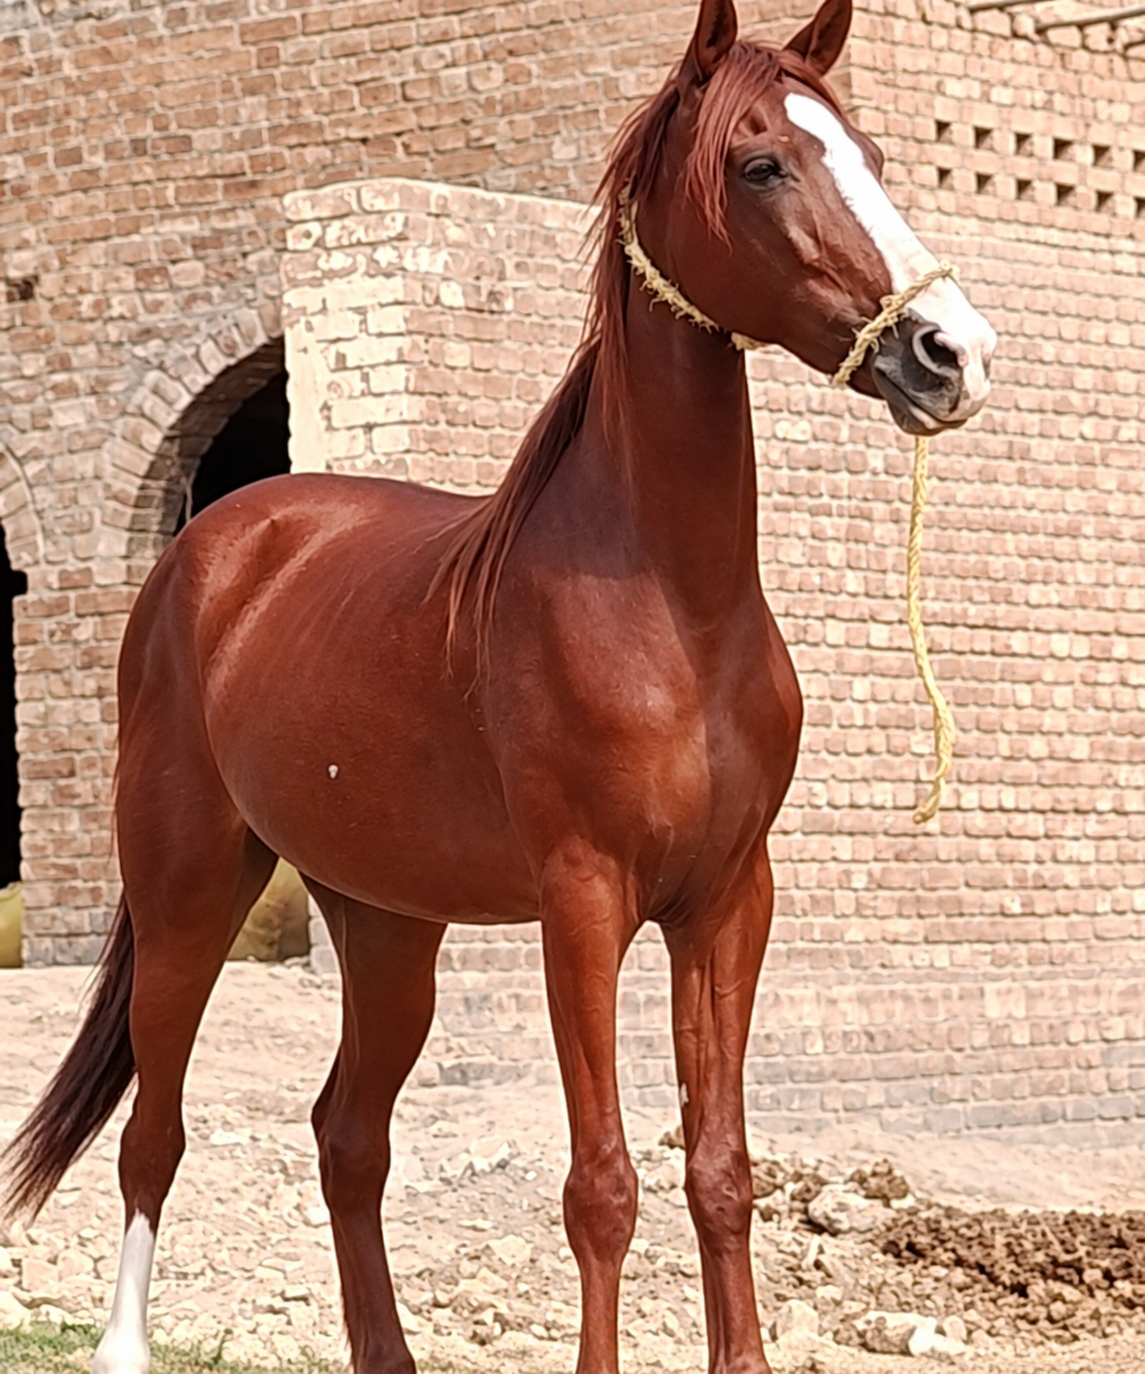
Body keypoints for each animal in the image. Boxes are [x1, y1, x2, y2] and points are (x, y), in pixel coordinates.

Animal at [3, 1, 994, 1371]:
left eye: (877, 159)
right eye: (759, 166)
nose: (949, 353)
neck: (669, 608)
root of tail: (213, 545)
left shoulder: (727, 904)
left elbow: (720, 1172)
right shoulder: (581, 905)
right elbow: (602, 1185)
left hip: (385, 922)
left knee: (346, 1136)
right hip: (189, 890)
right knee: (155, 1134)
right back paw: (121, 1347)